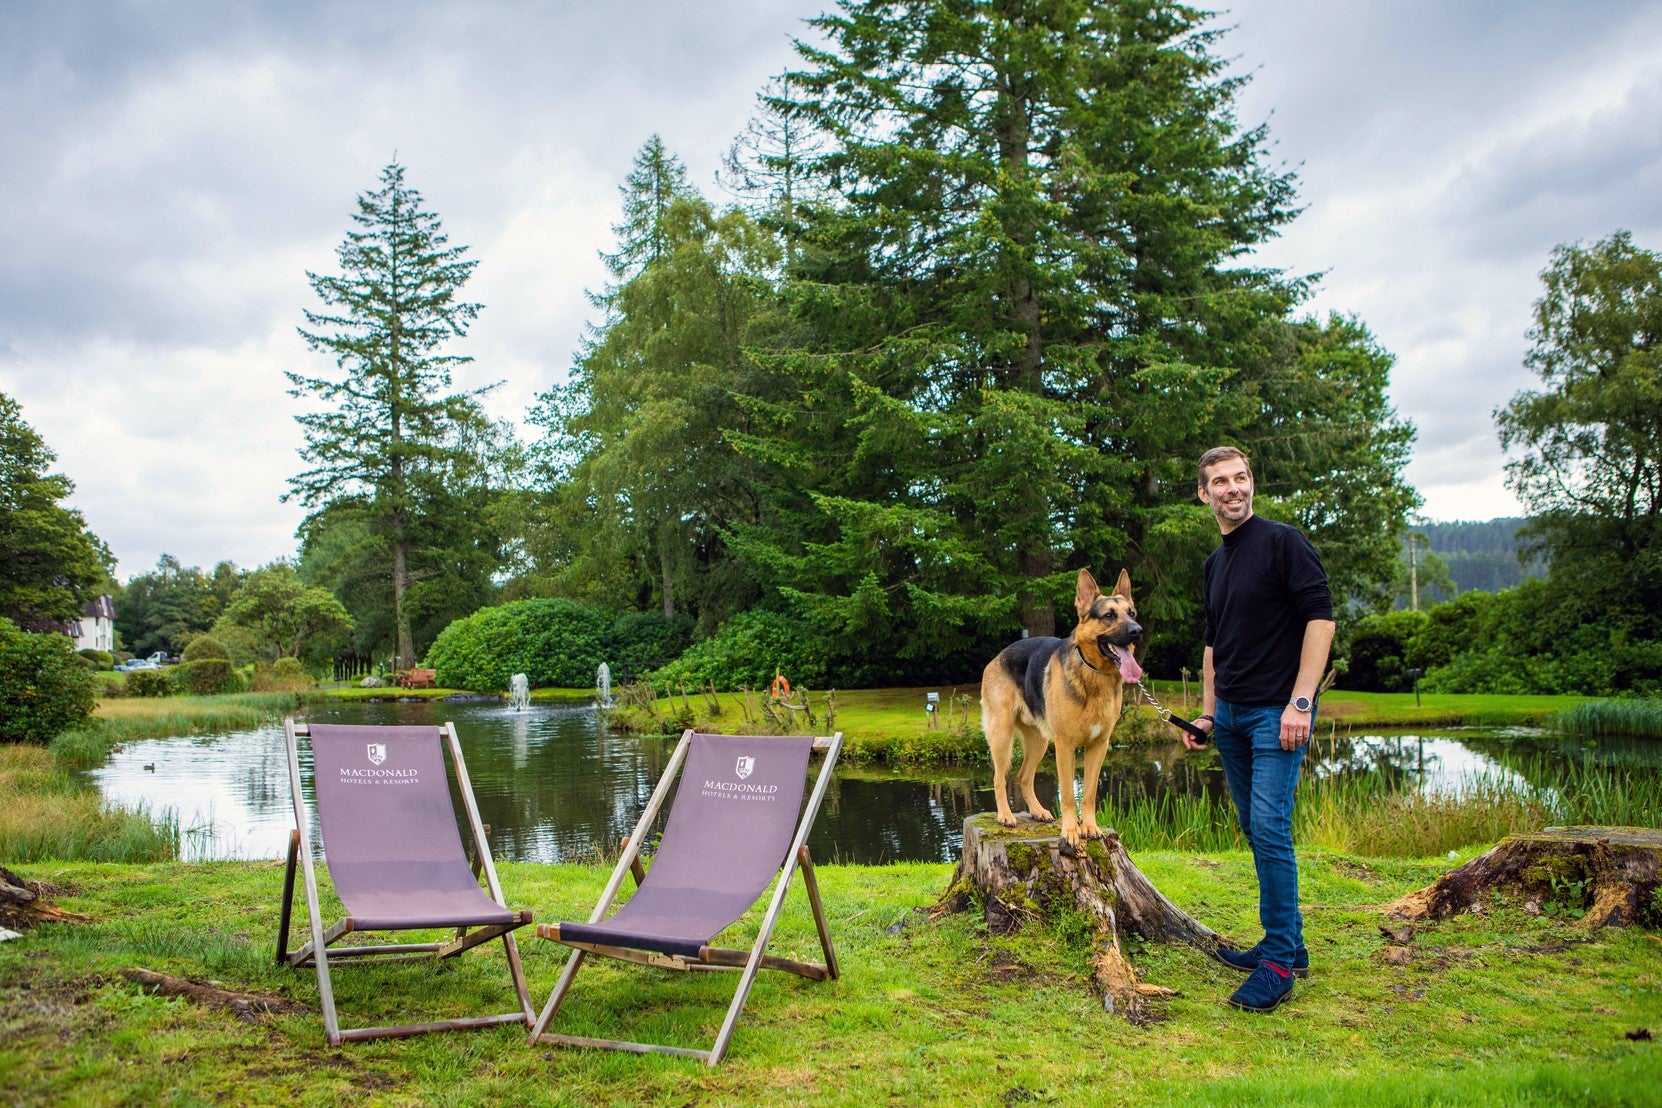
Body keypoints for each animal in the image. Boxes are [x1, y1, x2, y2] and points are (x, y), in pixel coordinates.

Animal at [983, 578, 1143, 843]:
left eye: (1131, 614)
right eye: (1109, 615)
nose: (1137, 631)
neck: (1094, 674)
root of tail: (997, 656)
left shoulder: (1098, 746)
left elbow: (1088, 793)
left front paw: (1089, 827)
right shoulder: (1065, 746)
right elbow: (1067, 794)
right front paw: (1070, 831)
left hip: (1039, 742)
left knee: (1023, 776)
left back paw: (1037, 811)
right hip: (1002, 736)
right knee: (999, 777)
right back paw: (1005, 816)